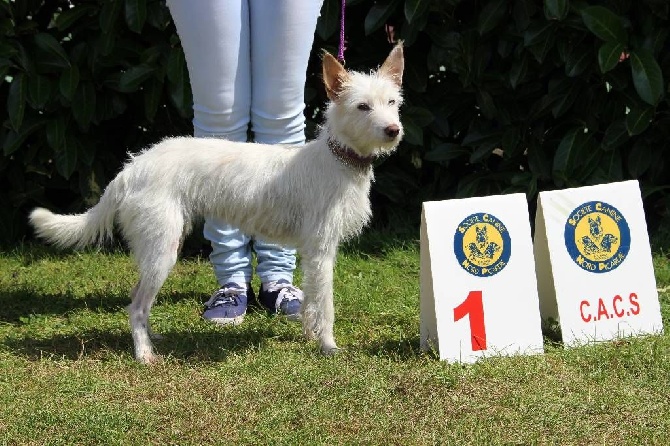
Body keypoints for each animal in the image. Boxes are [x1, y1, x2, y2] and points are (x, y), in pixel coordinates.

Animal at [28, 41, 406, 364]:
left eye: (392, 103)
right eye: (362, 107)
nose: (394, 130)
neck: (338, 159)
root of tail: (132, 169)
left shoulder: (313, 254)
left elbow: (313, 302)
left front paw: (311, 337)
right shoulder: (322, 250)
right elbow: (325, 305)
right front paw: (328, 346)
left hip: (158, 247)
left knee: (136, 300)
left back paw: (152, 339)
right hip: (162, 250)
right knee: (136, 306)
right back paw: (144, 354)